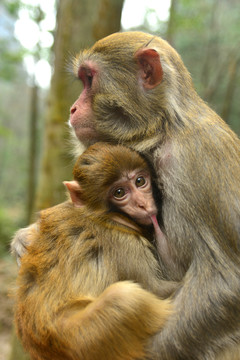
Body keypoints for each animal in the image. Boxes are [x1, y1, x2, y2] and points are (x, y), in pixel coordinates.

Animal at [14, 143, 174, 360]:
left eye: (140, 181)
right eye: (119, 192)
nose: (142, 203)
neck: (104, 217)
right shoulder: (123, 244)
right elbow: (157, 288)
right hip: (83, 336)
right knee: (124, 298)